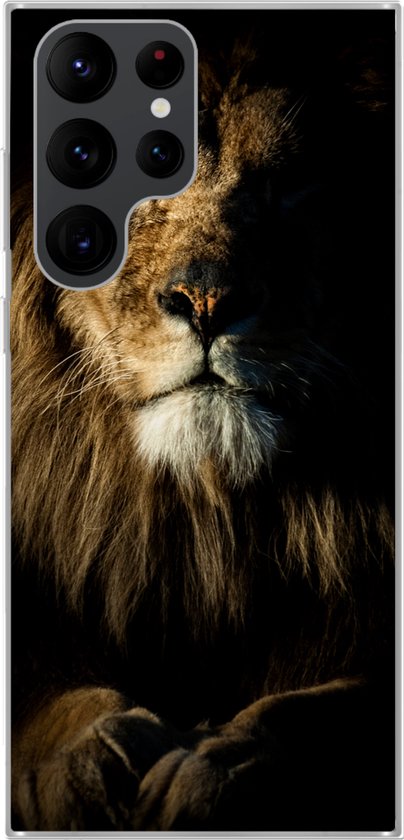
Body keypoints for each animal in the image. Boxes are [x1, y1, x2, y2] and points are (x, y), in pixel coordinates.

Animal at [11, 33, 395, 831]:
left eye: (296, 183)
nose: (209, 301)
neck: (204, 523)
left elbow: (321, 712)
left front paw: (221, 770)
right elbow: (43, 692)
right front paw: (87, 758)